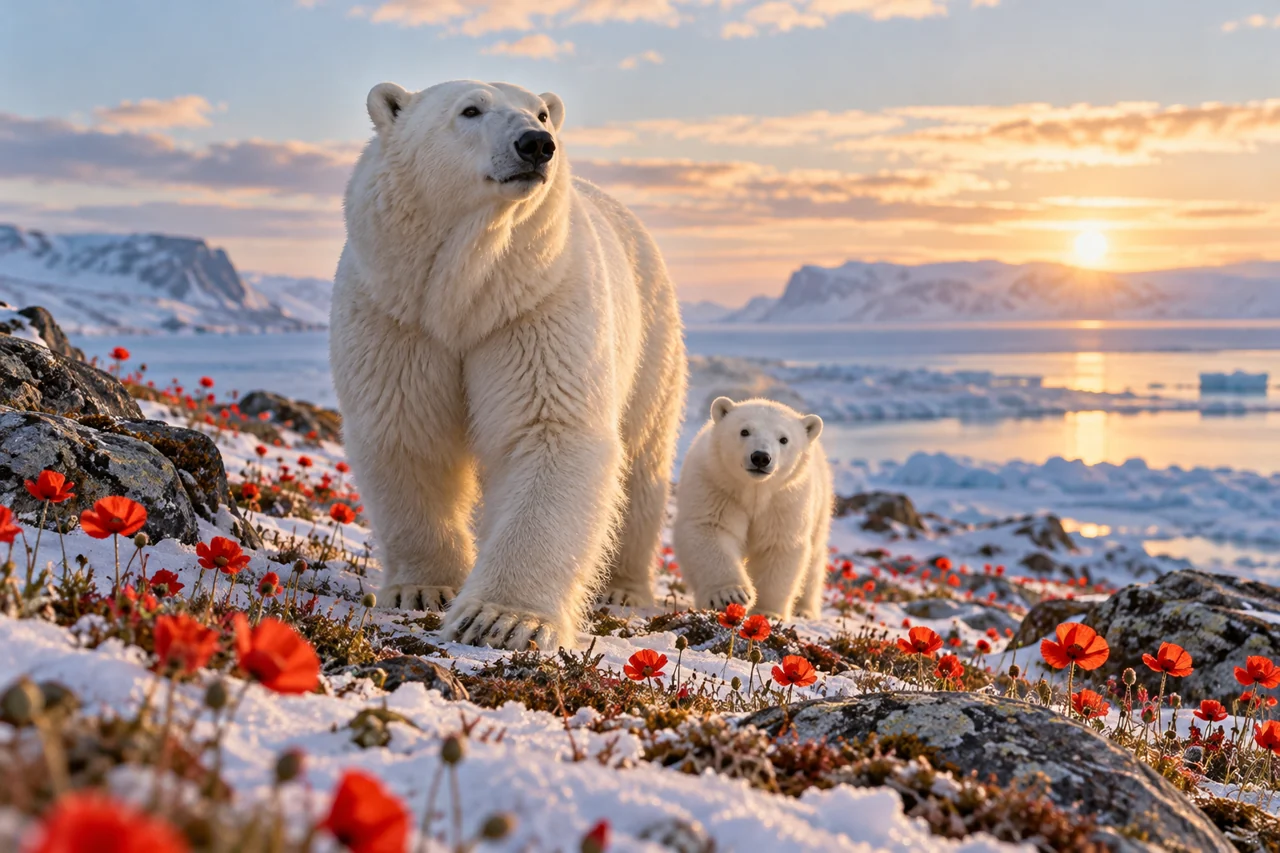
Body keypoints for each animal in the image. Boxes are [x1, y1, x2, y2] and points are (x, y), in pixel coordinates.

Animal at [329, 80, 686, 650]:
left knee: (643, 458)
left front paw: (501, 620)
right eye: (470, 109)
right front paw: (423, 588)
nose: (537, 144)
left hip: (652, 335)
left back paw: (624, 587)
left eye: (541, 112)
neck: (468, 291)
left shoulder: (537, 303)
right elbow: (407, 430)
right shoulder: (397, 312)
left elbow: (547, 429)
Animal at [673, 396, 832, 621]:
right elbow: (711, 529)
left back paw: (805, 609)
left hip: (821, 504)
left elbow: (778, 545)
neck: (754, 490)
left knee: (815, 556)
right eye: (744, 431)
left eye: (784, 439)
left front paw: (768, 612)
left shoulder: (785, 501)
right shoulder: (716, 485)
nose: (761, 457)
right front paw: (731, 595)